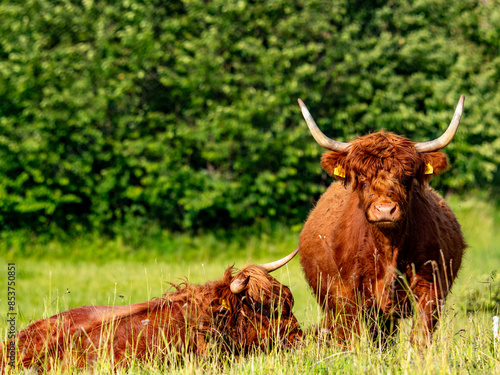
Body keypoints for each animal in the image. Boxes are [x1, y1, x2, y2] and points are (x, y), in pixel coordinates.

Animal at [296, 95, 464, 342]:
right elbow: (353, 336)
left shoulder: (431, 285)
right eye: (362, 178)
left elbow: (421, 334)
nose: (385, 210)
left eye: (406, 177)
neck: (388, 249)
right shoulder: (345, 292)